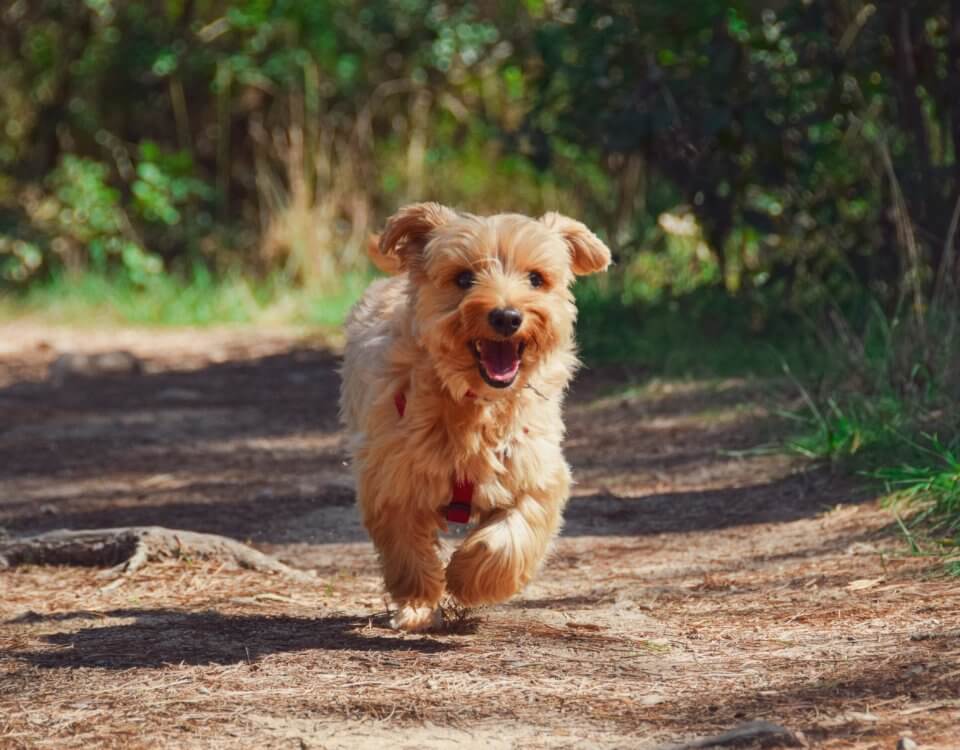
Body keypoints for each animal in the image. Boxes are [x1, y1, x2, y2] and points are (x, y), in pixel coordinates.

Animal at [342, 203, 612, 632]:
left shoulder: (535, 471)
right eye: (464, 278)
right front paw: (418, 602)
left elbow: (510, 537)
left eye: (536, 278)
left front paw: (468, 578)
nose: (506, 316)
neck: (476, 405)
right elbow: (407, 548)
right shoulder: (392, 477)